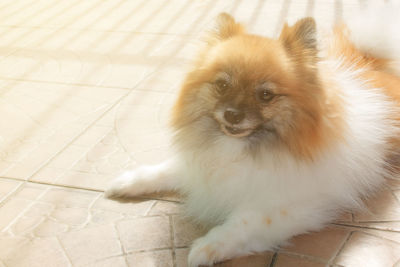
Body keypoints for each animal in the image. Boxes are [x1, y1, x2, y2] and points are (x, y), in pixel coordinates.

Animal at [105, 4, 400, 267]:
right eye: (222, 85)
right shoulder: (203, 163)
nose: (232, 115)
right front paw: (129, 182)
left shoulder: (297, 204)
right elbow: (166, 169)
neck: (241, 150)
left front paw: (208, 246)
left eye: (266, 95)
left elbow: (244, 222)